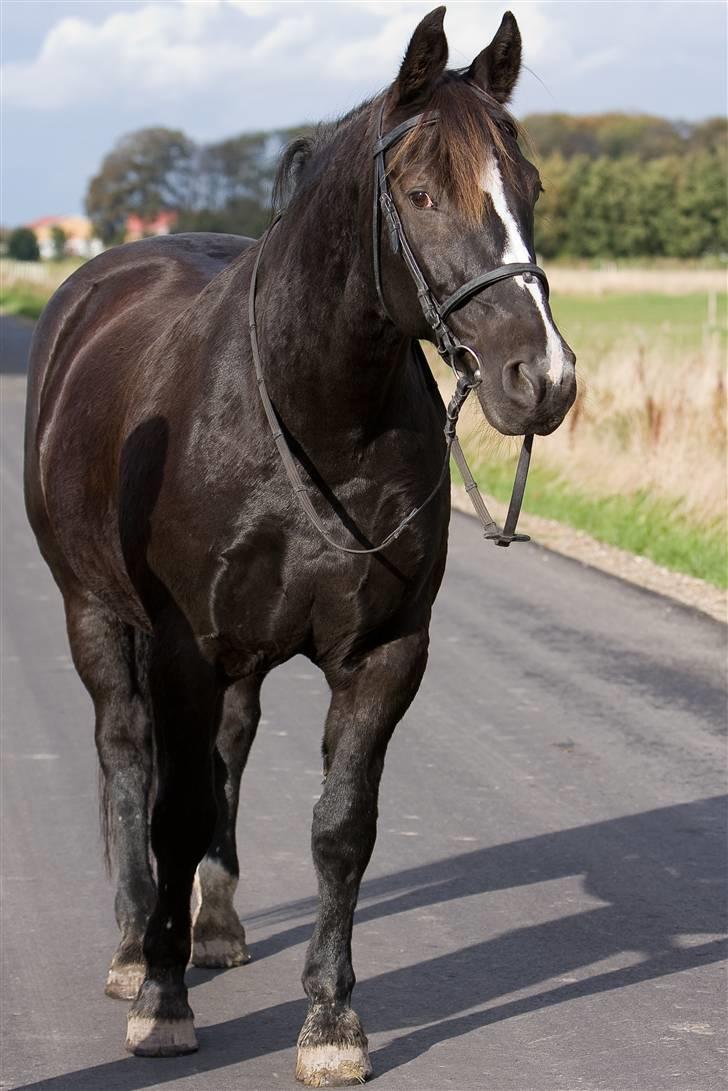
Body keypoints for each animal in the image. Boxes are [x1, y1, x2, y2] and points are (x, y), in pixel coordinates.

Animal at [24, 6, 576, 1082]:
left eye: (528, 186)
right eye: (420, 193)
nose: (542, 378)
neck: (311, 411)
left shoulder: (384, 653)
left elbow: (340, 826)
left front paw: (329, 1020)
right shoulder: (183, 649)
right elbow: (172, 809)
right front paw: (162, 1003)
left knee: (229, 754)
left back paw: (216, 925)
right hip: (95, 614)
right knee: (127, 753)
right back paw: (135, 944)